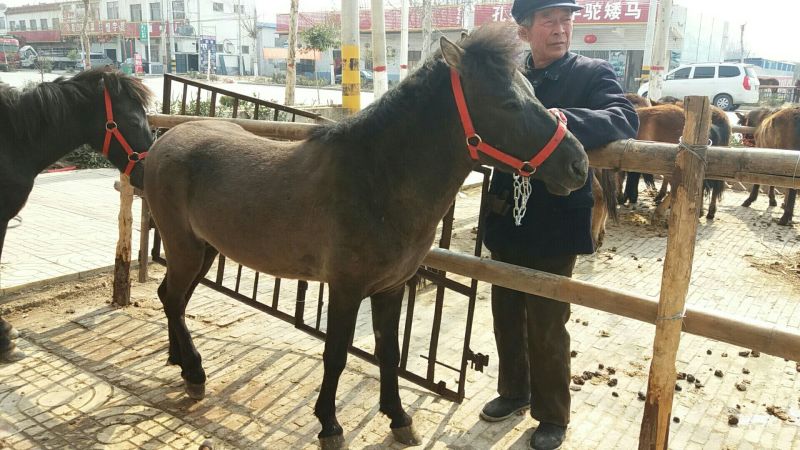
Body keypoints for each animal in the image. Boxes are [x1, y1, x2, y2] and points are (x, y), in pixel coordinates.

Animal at [143, 26, 588, 449]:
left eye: (533, 92)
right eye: (508, 103)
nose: (578, 165)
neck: (376, 182)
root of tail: (163, 142)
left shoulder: (391, 289)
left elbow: (389, 353)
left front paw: (399, 418)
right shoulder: (345, 288)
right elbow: (336, 355)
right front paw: (329, 425)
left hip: (204, 251)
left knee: (172, 298)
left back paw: (181, 362)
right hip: (184, 248)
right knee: (173, 299)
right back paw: (194, 373)